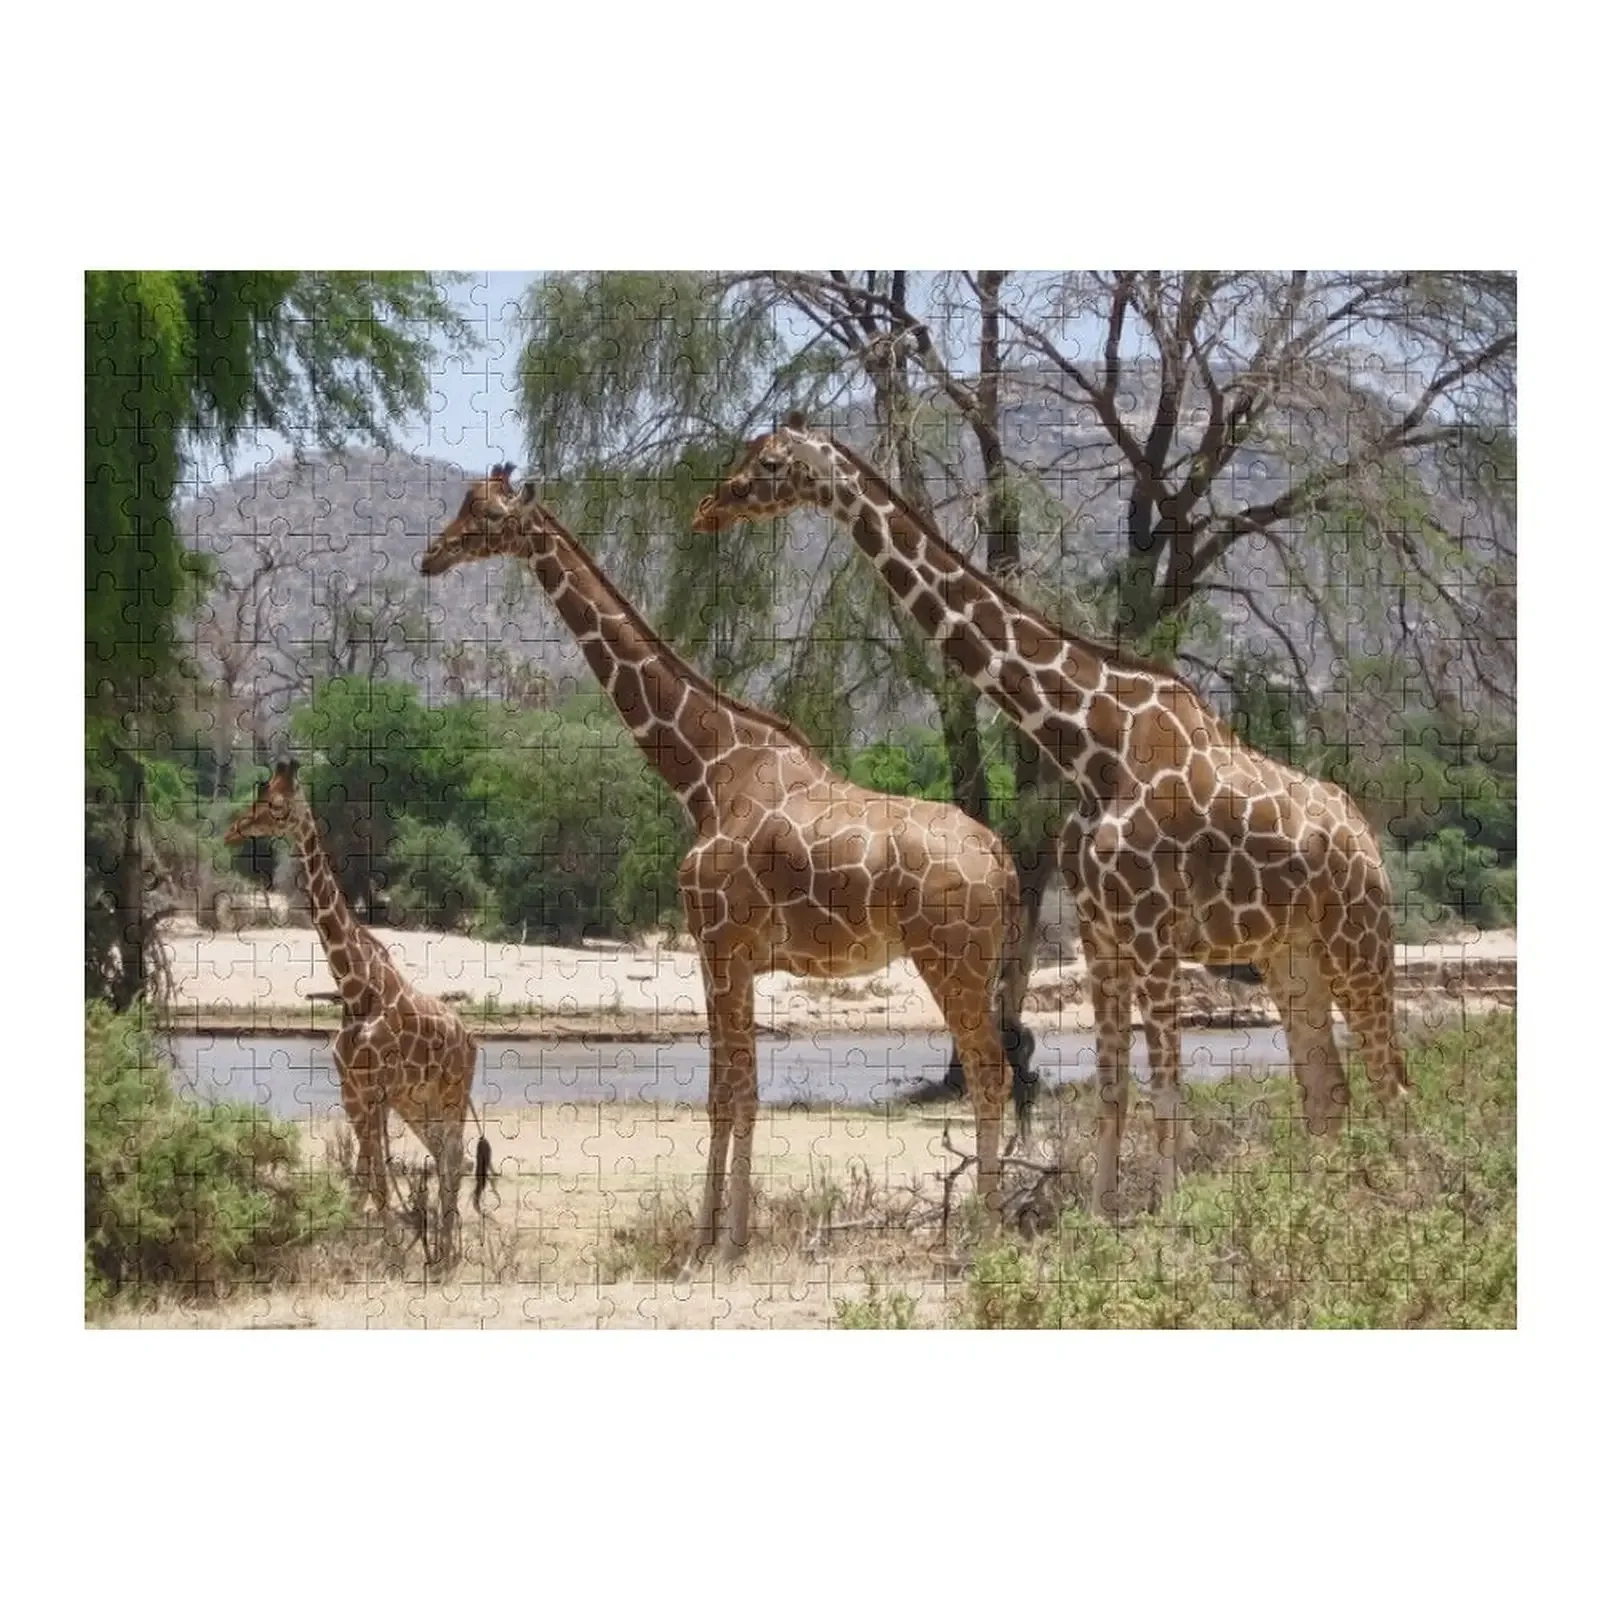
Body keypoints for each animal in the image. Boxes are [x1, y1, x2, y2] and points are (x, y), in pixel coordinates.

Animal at [224, 761, 491, 1262]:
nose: (234, 829)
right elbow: (363, 1175)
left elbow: (376, 1177)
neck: (354, 988)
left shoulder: (372, 1090)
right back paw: (442, 1250)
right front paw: (350, 1243)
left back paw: (445, 1253)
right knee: (449, 1156)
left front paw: (389, 1252)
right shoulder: (353, 1088)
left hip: (449, 1095)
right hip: (417, 1102)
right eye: (260, 795)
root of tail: (470, 1038)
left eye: (276, 805)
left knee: (454, 1158)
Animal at [420, 465, 1035, 1272]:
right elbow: (737, 1090)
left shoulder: (718, 944)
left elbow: (726, 1093)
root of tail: (1003, 860)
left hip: (949, 959)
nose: (432, 555)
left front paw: (715, 1241)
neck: (705, 772)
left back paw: (984, 1232)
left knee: (990, 1071)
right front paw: (725, 1234)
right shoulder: (732, 956)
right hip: (976, 962)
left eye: (488, 517)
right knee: (1003, 1069)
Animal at [693, 415, 1409, 1217]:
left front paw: (1168, 1217)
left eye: (769, 463)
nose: (710, 507)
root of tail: (1366, 839)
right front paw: (1101, 1217)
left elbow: (1165, 1089)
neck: (1092, 744)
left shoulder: (1153, 932)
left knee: (1392, 1077)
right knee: (1328, 1089)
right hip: (1291, 955)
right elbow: (1112, 1090)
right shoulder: (1103, 936)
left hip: (1358, 940)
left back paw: (1412, 1200)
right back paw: (1335, 1207)